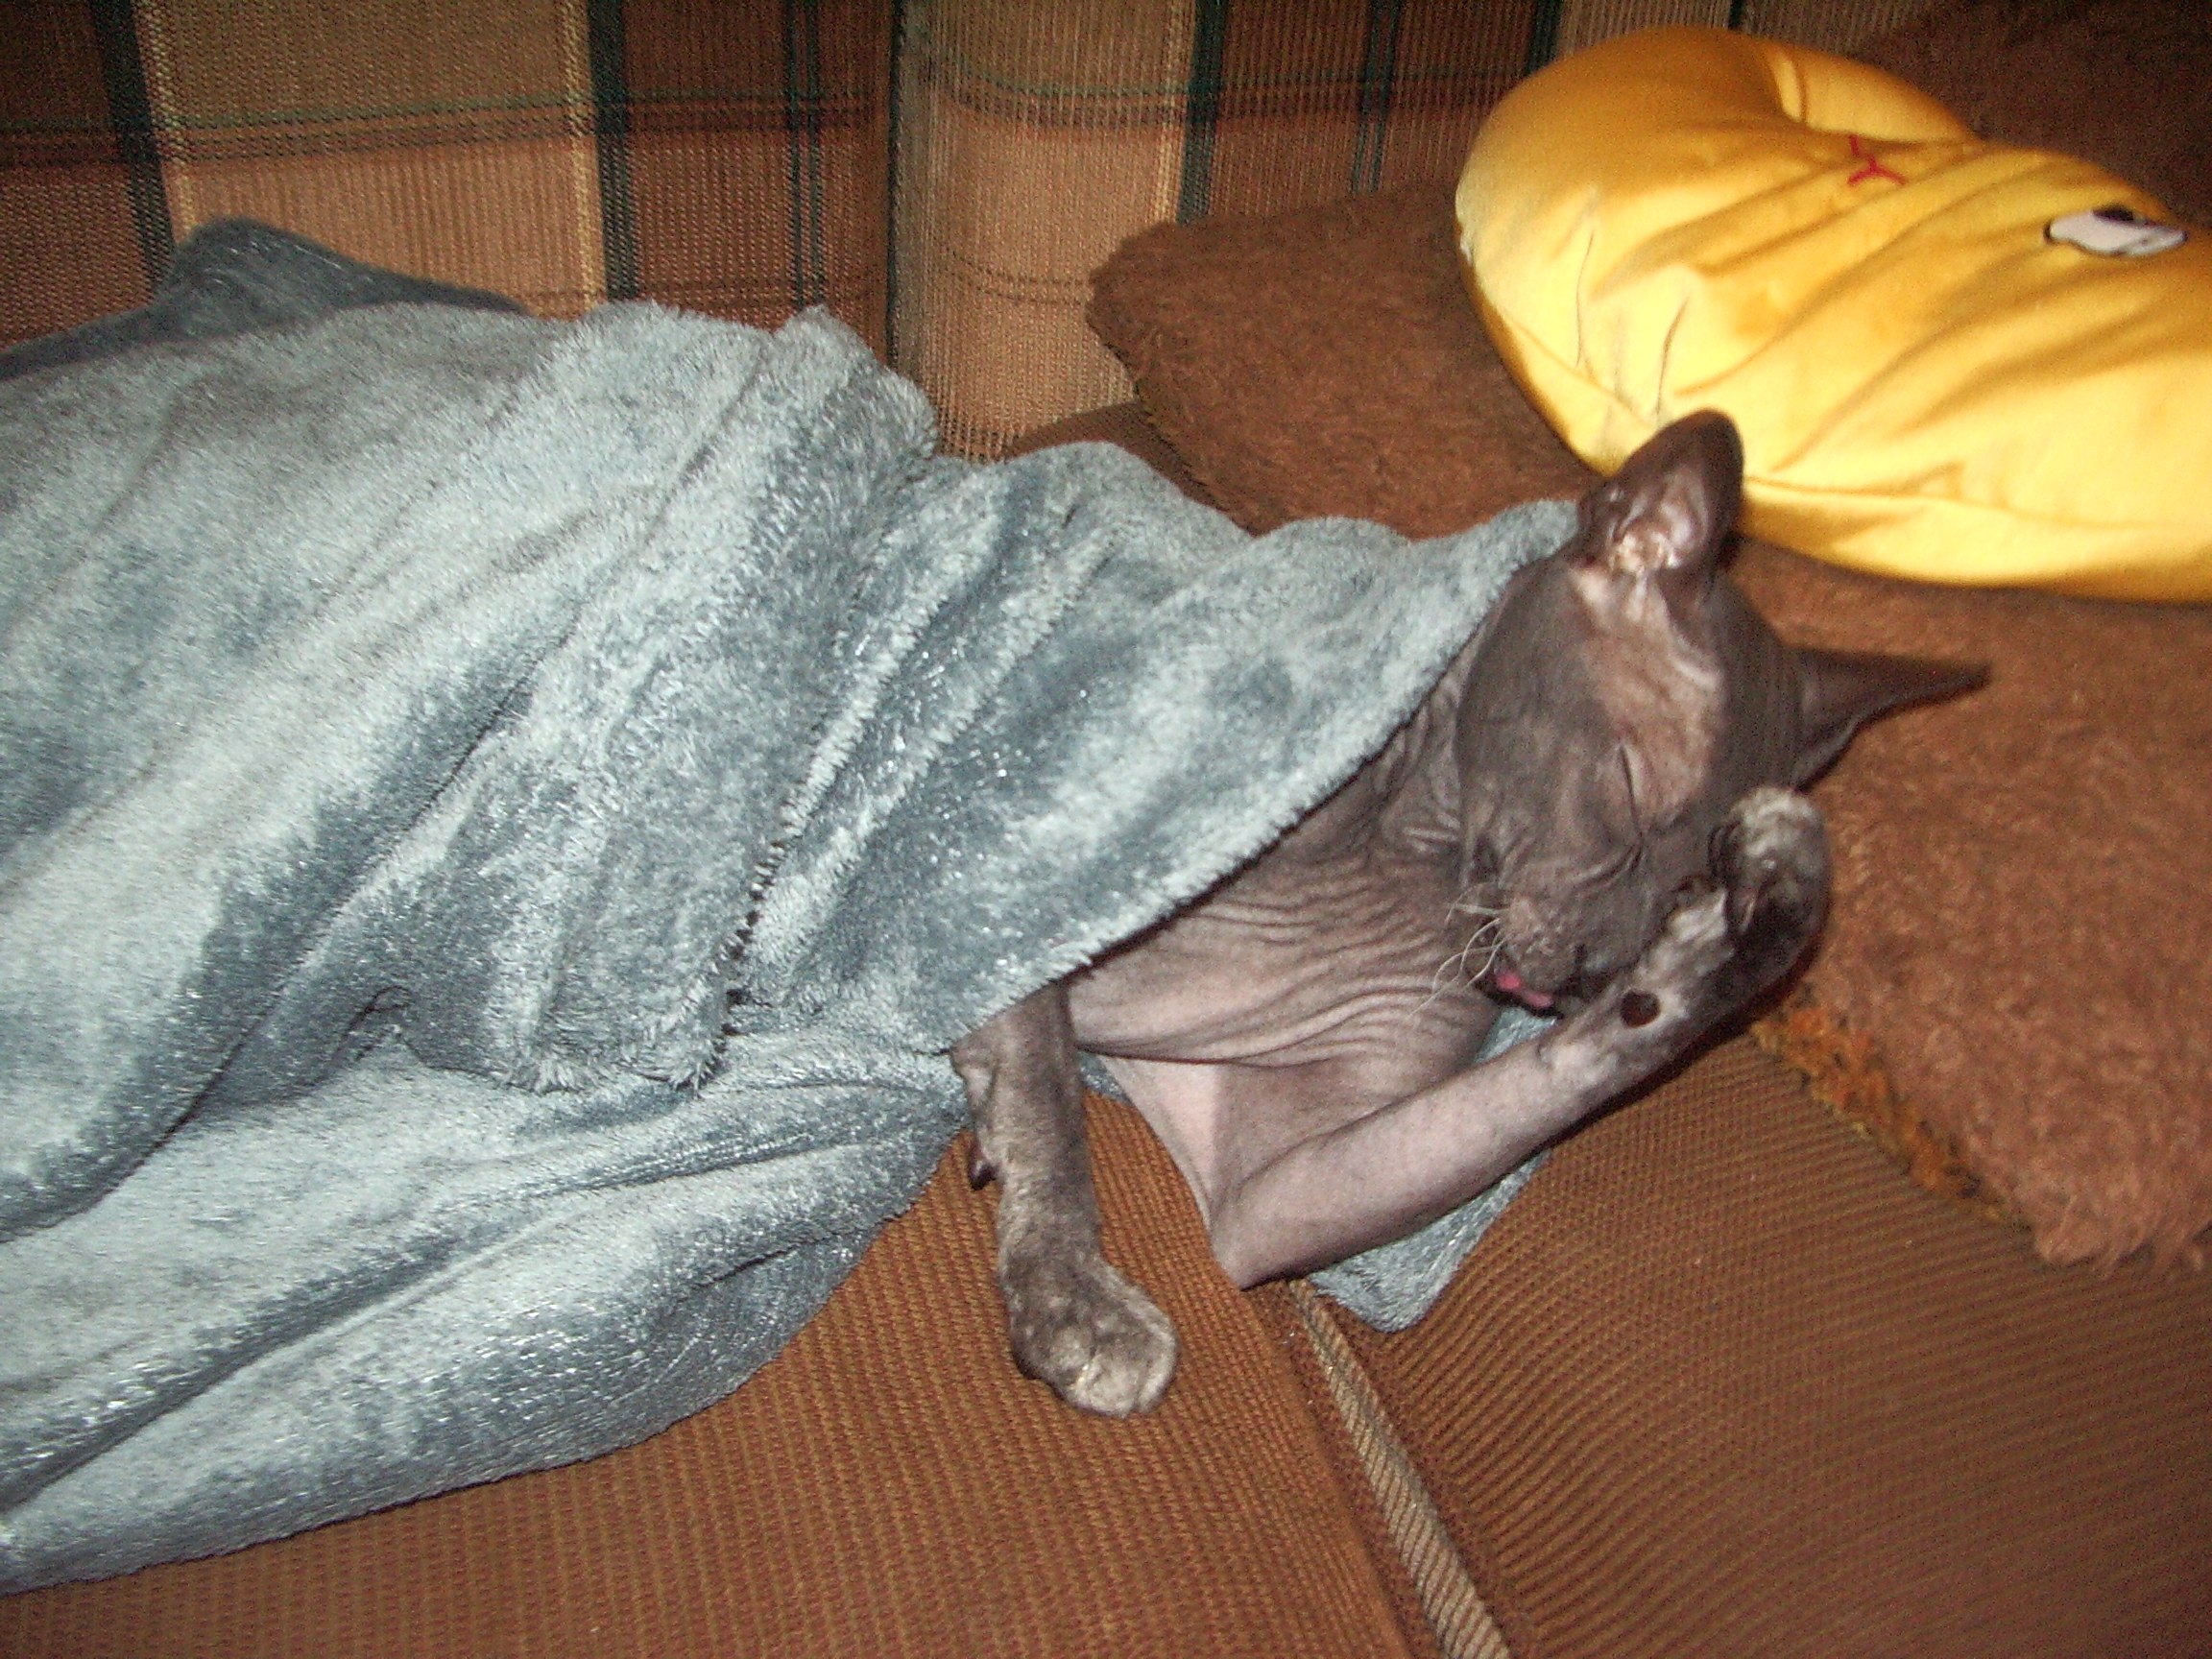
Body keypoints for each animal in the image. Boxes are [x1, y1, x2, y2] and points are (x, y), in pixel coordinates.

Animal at [953, 411, 1982, 1415]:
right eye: (1632, 791)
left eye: (1691, 879)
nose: (1593, 968)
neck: (1414, 847)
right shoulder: (1019, 848)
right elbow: (1047, 1089)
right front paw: (1075, 1299)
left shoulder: (1263, 1191)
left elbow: (1587, 1062)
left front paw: (1757, 914)